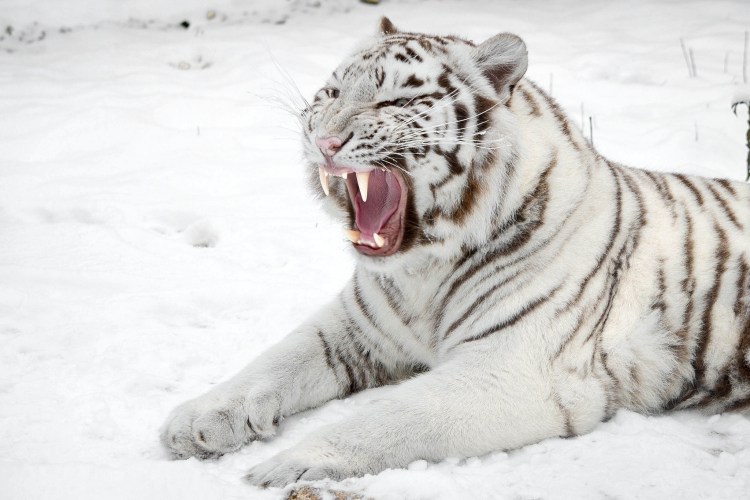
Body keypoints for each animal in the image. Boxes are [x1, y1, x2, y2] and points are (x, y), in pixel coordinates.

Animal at [161, 17, 750, 488]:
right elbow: (273, 363)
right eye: (329, 93)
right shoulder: (353, 328)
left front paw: (291, 463)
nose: (324, 142)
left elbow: (391, 416)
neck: (423, 271)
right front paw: (194, 422)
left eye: (393, 101)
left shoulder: (514, 368)